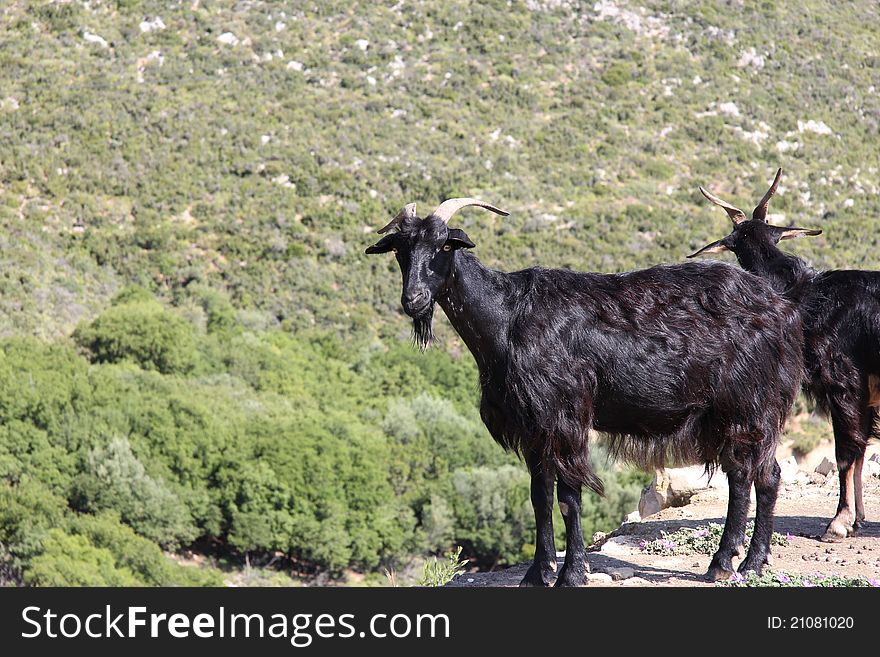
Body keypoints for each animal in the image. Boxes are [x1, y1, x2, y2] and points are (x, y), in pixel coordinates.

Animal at [368, 200, 800, 584]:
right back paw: (736, 563)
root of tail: (779, 307)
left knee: (760, 475)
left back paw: (739, 564)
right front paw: (537, 573)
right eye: (401, 251)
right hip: (731, 412)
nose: (413, 300)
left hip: (748, 403)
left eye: (443, 245)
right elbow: (540, 496)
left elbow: (569, 497)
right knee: (751, 475)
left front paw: (572, 573)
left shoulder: (565, 416)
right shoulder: (533, 425)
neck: (508, 317)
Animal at [692, 169, 876, 544]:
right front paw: (857, 519)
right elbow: (860, 448)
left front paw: (838, 522)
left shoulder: (844, 382)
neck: (808, 295)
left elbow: (846, 451)